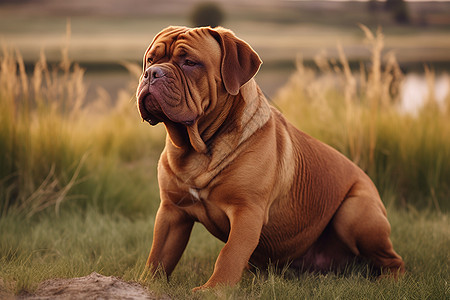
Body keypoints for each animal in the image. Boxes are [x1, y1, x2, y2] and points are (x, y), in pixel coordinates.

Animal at [135, 25, 406, 290]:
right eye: (151, 60)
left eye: (190, 62)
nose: (153, 73)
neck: (196, 148)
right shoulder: (171, 211)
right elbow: (158, 254)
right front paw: (147, 282)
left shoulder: (247, 211)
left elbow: (229, 254)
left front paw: (214, 289)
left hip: (354, 211)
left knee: (394, 260)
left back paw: (388, 279)